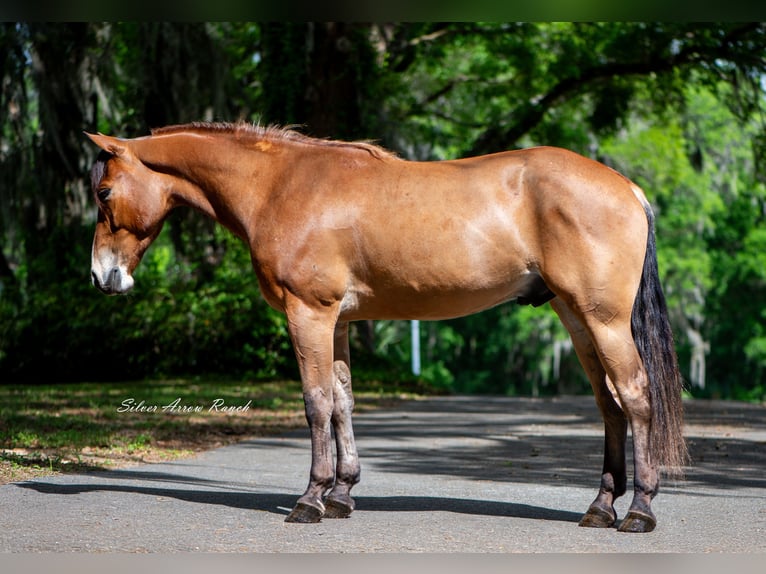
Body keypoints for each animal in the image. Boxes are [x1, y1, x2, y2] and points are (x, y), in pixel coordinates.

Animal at [86, 122, 686, 533]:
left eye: (103, 193)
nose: (101, 276)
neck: (279, 185)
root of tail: (629, 189)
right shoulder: (338, 321)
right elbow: (342, 402)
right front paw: (342, 495)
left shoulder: (309, 314)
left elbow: (315, 403)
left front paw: (310, 500)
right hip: (576, 317)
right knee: (609, 405)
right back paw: (601, 507)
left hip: (604, 321)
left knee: (635, 398)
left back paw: (639, 509)